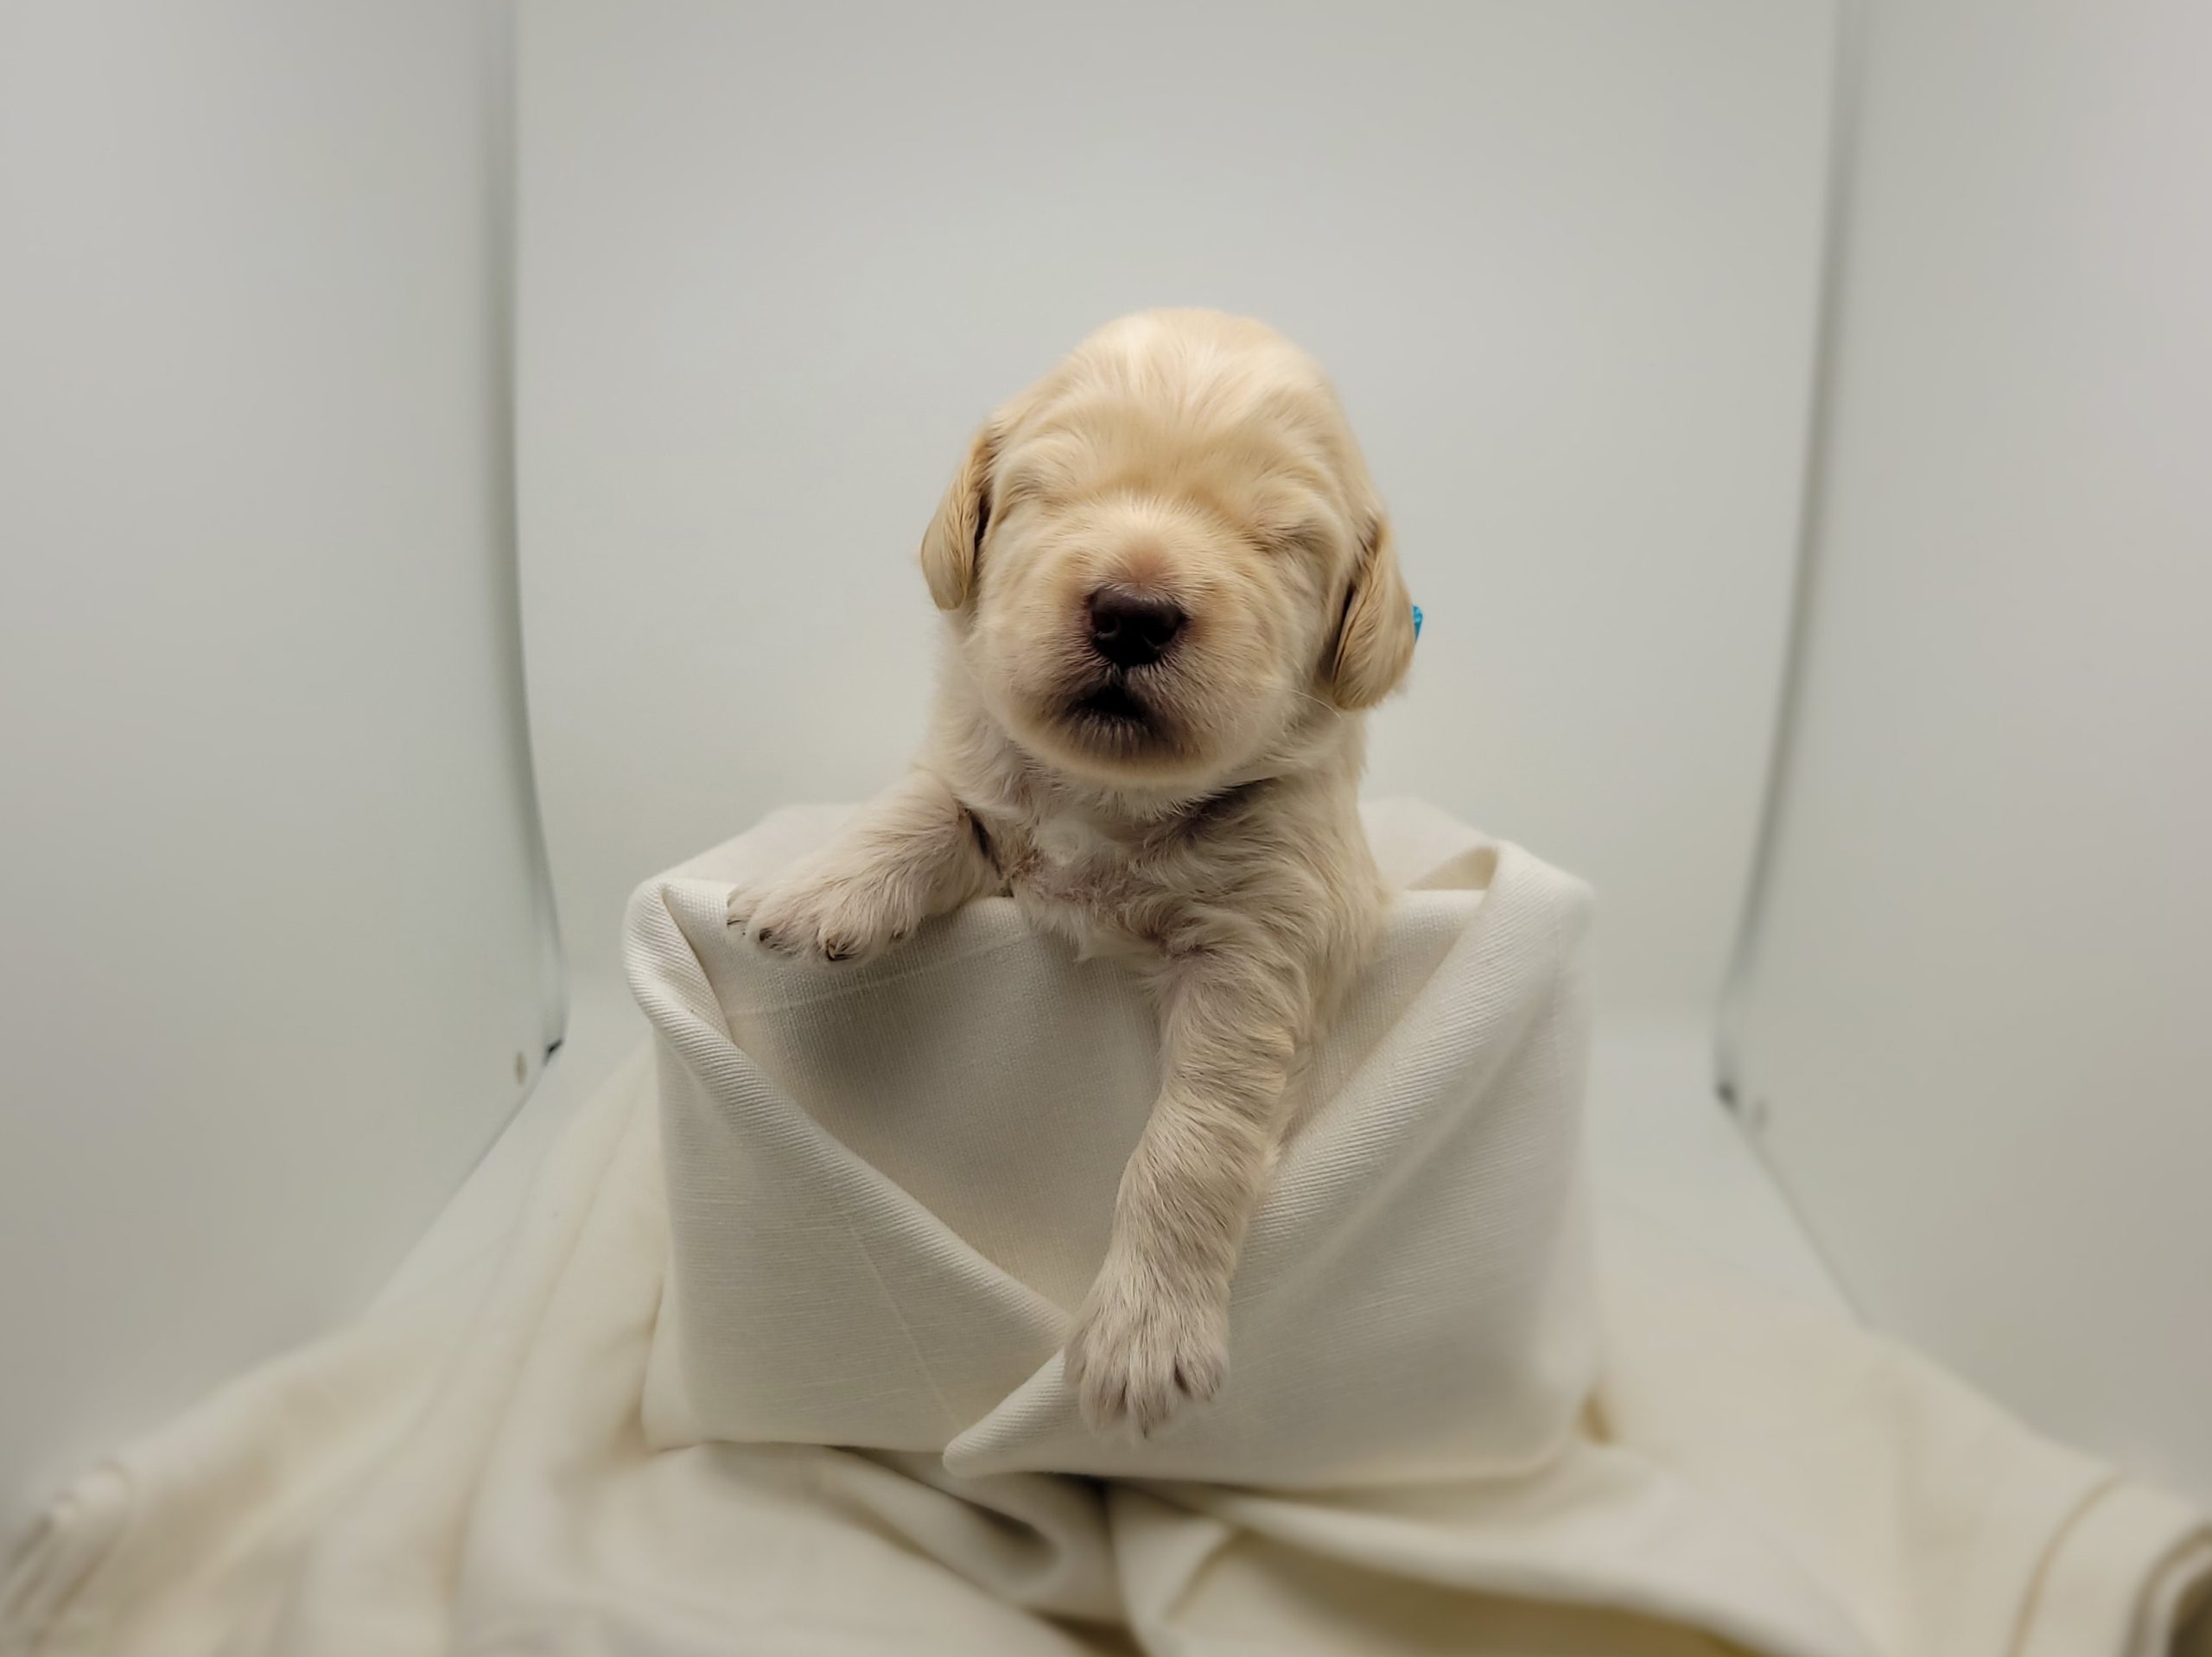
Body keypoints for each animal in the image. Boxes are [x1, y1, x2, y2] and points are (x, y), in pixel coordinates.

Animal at [726, 309, 1416, 1436]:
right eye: (1052, 491)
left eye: (1277, 540)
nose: (1132, 612)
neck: (1109, 799)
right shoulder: (985, 794)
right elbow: (928, 803)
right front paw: (821, 885)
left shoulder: (1264, 941)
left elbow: (1196, 1136)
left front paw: (1146, 1332)